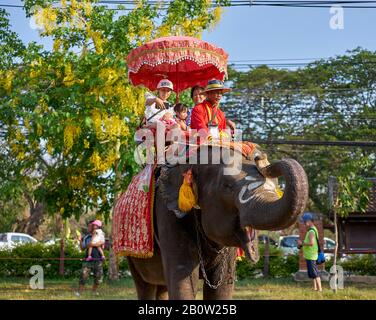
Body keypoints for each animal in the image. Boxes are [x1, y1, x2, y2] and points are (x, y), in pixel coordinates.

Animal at [126, 145, 308, 300]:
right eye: (227, 186)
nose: (260, 157)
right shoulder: (168, 214)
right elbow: (183, 280)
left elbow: (222, 286)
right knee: (145, 286)